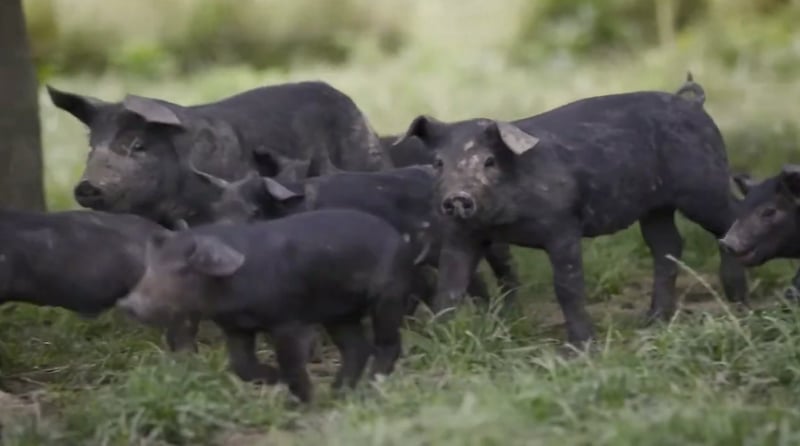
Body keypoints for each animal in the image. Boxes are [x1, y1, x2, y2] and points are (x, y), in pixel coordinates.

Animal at [117, 209, 413, 402]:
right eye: (150, 266)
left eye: (182, 269)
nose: (128, 304)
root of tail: (400, 238)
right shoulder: (236, 328)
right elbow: (241, 365)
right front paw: (274, 378)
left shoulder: (288, 320)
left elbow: (291, 362)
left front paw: (304, 402)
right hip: (340, 313)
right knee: (356, 348)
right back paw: (339, 393)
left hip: (388, 294)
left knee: (387, 344)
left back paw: (371, 387)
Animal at [392, 73, 749, 345]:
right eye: (438, 163)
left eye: (489, 161)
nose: (457, 197)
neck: (504, 222)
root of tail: (693, 104)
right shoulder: (460, 233)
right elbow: (450, 287)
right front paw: (441, 340)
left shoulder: (562, 225)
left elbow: (567, 285)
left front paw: (580, 347)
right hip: (654, 207)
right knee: (668, 245)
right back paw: (651, 322)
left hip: (704, 185)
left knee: (730, 220)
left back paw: (740, 303)